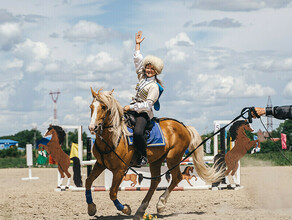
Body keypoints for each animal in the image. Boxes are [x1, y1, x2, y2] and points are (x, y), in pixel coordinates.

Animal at [85, 88, 225, 219]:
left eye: (103, 107)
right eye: (91, 106)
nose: (92, 127)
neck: (115, 137)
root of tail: (184, 127)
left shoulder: (120, 169)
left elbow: (112, 192)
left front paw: (125, 209)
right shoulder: (100, 164)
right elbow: (88, 181)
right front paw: (91, 208)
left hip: (172, 158)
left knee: (177, 178)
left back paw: (160, 204)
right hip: (156, 160)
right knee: (155, 181)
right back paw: (141, 210)